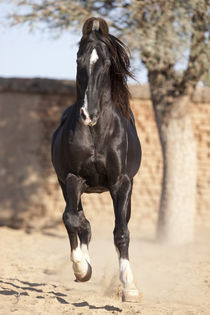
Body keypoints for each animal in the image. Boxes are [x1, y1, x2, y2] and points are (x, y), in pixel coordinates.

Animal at [51, 17, 142, 304]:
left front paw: (129, 288)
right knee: (76, 220)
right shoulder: (73, 178)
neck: (96, 132)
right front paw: (82, 268)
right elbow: (73, 220)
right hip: (65, 184)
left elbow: (121, 232)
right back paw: (83, 266)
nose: (88, 114)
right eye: (78, 59)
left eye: (107, 62)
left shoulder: (121, 184)